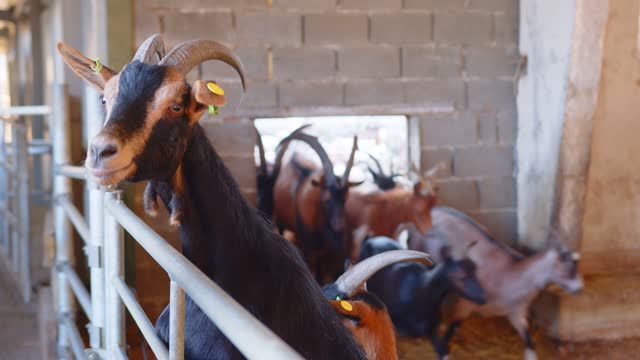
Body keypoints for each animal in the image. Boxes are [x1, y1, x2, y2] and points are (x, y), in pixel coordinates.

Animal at [272, 129, 362, 284]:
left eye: (345, 198)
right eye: (326, 199)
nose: (339, 226)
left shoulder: (325, 250)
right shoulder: (310, 249)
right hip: (281, 222)